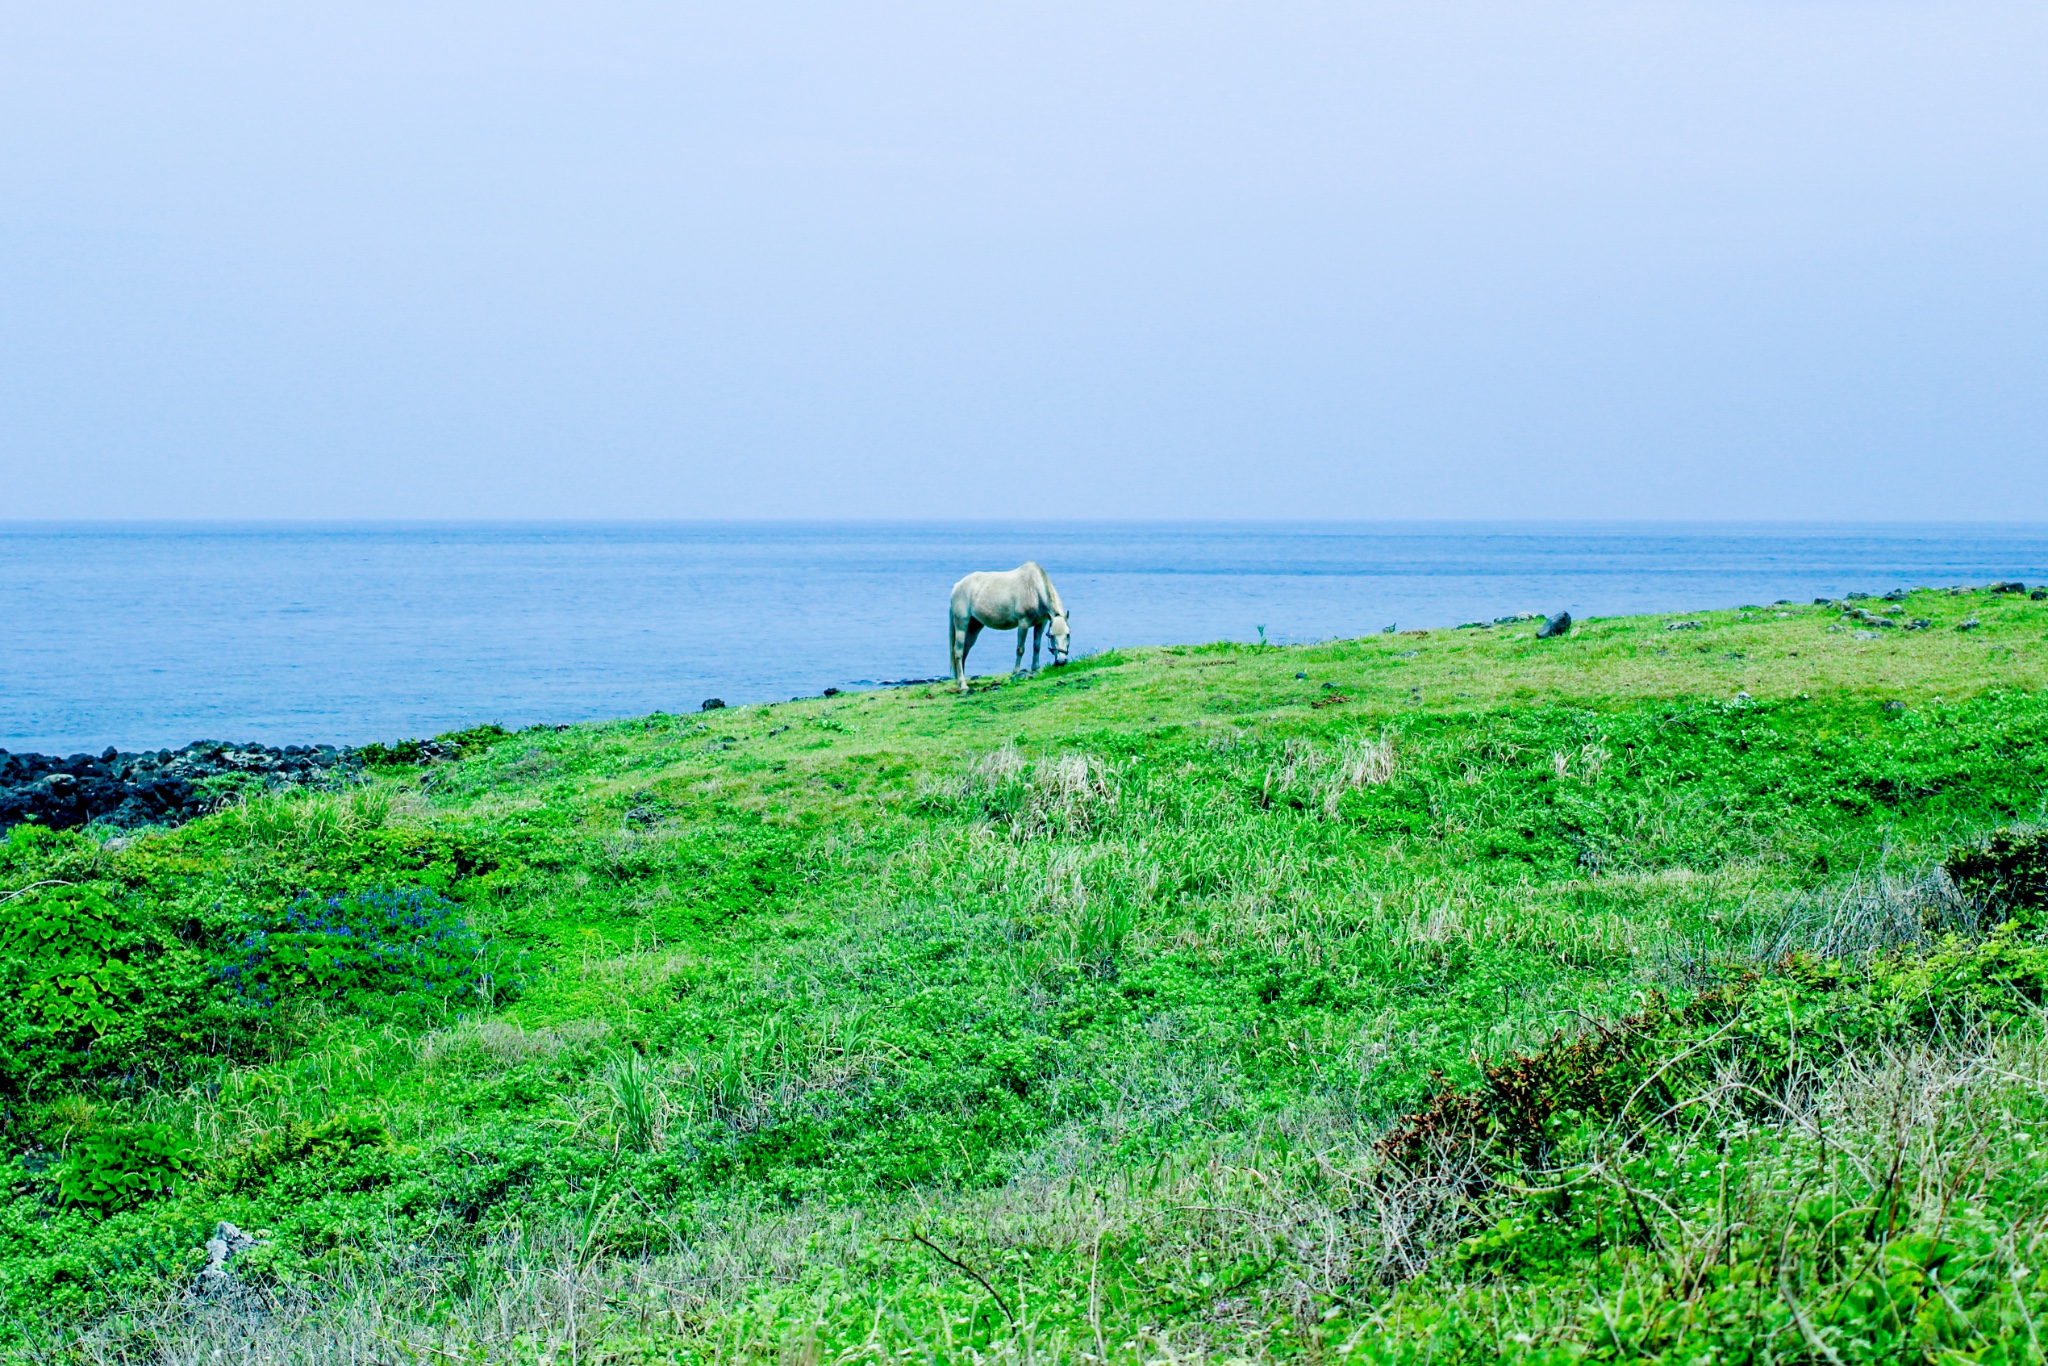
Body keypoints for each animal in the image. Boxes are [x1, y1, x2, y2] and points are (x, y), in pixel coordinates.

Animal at [946, 561, 1073, 696]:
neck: (1034, 589)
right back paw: (963, 685)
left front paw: (1035, 669)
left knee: (965, 651)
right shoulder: (1023, 623)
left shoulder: (1041, 623)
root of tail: (957, 587)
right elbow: (1020, 649)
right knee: (958, 652)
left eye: (1068, 634)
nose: (1061, 661)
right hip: (961, 624)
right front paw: (1015, 673)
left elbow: (1036, 646)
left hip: (974, 626)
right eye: (1052, 636)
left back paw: (959, 681)